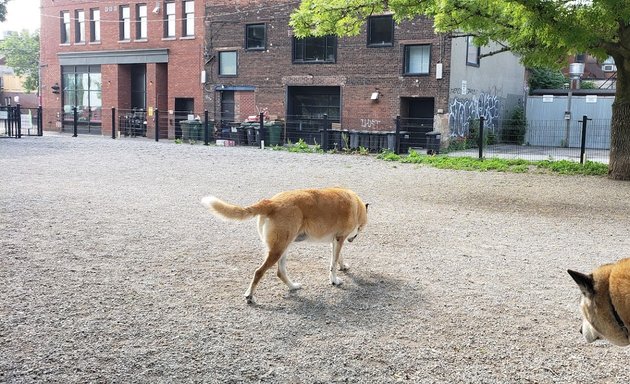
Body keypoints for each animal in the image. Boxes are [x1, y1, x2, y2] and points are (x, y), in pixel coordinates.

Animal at [202, 188, 370, 304]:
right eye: (361, 229)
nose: (352, 239)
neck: (356, 206)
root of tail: (270, 203)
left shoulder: (335, 240)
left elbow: (338, 257)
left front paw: (343, 266)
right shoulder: (340, 238)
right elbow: (333, 264)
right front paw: (334, 280)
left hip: (284, 247)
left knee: (280, 272)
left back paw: (293, 286)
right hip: (278, 249)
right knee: (259, 272)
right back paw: (250, 296)